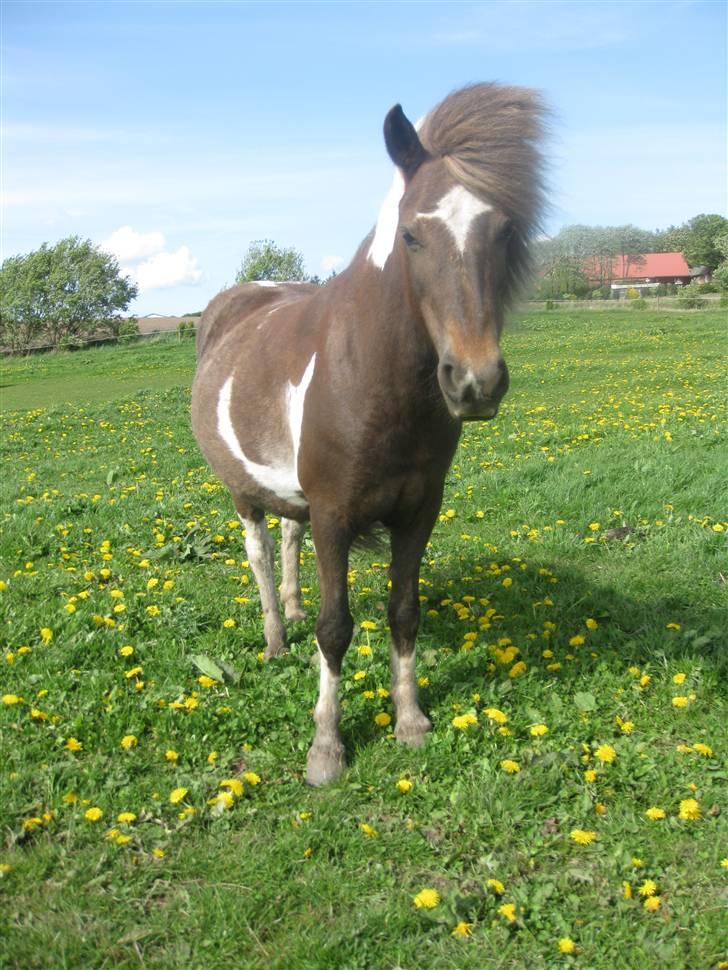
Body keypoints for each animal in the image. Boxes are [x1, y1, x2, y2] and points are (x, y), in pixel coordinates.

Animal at [191, 83, 544, 788]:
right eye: (411, 235)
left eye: (504, 231)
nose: (476, 382)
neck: (372, 379)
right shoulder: (334, 514)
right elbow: (336, 628)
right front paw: (326, 747)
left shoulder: (419, 511)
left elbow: (403, 612)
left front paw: (410, 721)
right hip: (244, 496)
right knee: (260, 555)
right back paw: (277, 638)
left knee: (288, 539)